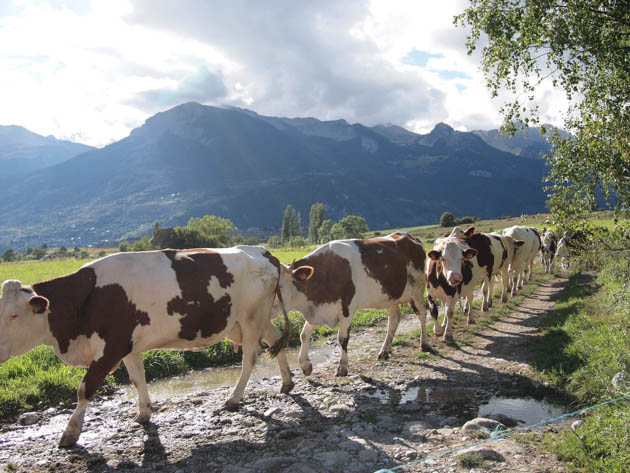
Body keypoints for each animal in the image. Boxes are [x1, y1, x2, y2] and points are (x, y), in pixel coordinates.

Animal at [0, 247, 296, 446]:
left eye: (13, 315)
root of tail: (261, 250)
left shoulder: (111, 348)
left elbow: (85, 389)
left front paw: (70, 433)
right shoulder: (129, 347)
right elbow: (137, 379)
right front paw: (143, 413)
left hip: (251, 318)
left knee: (250, 356)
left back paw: (234, 398)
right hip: (254, 319)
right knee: (275, 340)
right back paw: (287, 382)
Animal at [278, 231, 430, 376]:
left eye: (278, 286)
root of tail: (409, 236)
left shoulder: (347, 308)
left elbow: (342, 338)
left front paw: (343, 367)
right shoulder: (320, 310)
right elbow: (304, 334)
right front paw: (305, 365)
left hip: (418, 287)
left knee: (422, 313)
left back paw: (424, 343)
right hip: (390, 295)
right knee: (394, 320)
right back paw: (384, 351)